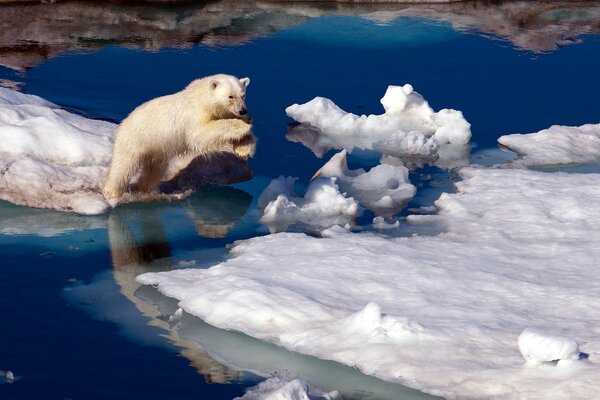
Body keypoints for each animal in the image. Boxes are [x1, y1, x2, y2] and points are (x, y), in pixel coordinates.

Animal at [101, 73, 255, 202]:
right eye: (230, 96)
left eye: (243, 95)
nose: (243, 110)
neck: (202, 97)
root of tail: (123, 123)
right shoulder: (194, 114)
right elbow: (201, 134)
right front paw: (242, 124)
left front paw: (244, 148)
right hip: (134, 140)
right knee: (123, 167)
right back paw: (112, 192)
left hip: (156, 150)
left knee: (154, 170)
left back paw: (143, 188)